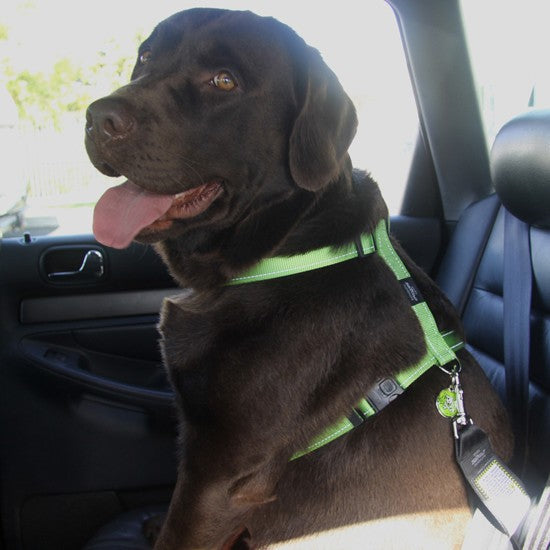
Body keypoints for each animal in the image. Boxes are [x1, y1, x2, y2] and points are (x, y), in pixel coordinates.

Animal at [84, 8, 516, 550]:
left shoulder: (220, 476)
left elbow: (182, 530)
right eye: (145, 57)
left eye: (224, 80)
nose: (98, 117)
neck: (287, 249)